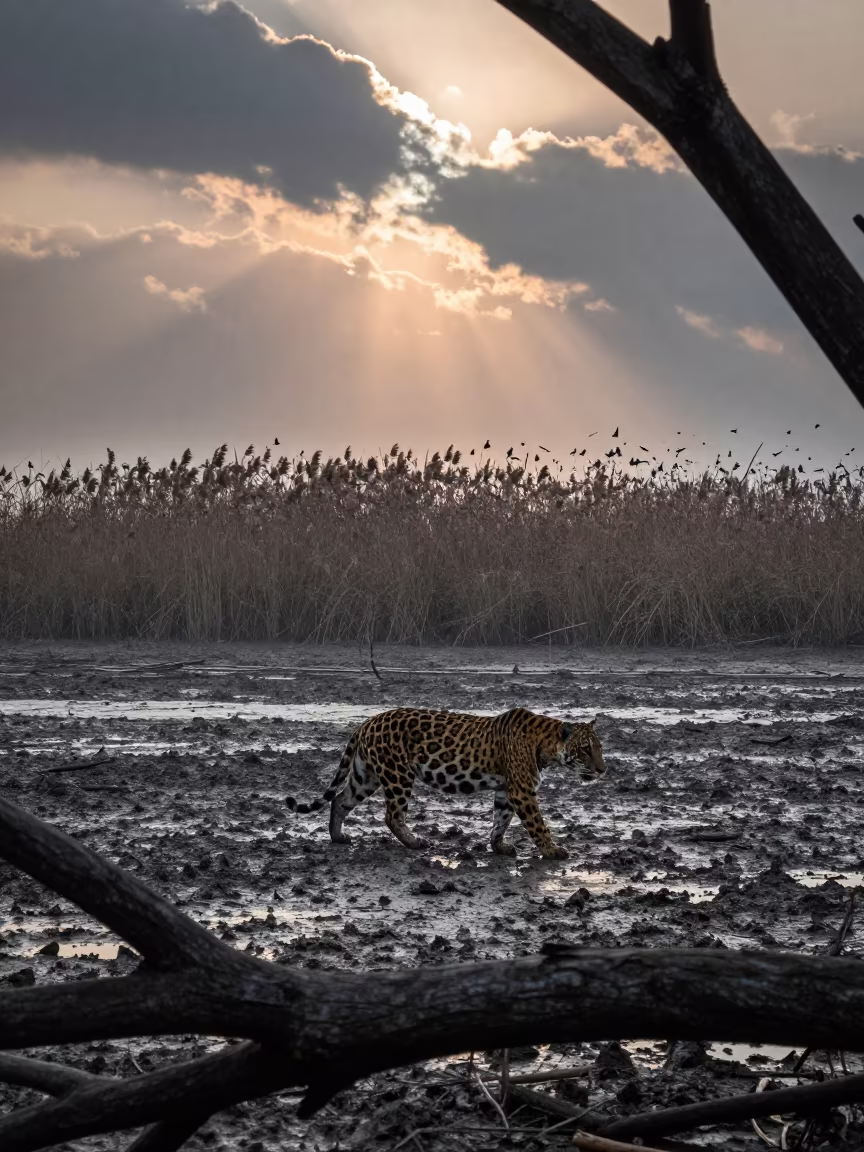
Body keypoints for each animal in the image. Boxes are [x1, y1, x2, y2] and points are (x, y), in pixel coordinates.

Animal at [284, 706, 606, 859]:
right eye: (585, 749)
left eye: (599, 747)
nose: (603, 770)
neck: (546, 744)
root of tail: (367, 721)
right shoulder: (523, 791)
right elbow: (538, 825)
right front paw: (552, 851)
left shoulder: (506, 789)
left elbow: (500, 820)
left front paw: (498, 846)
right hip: (398, 774)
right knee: (392, 815)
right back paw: (415, 842)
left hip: (367, 776)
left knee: (340, 799)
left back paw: (338, 837)